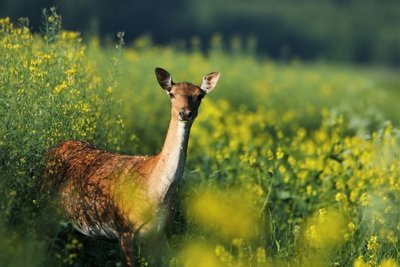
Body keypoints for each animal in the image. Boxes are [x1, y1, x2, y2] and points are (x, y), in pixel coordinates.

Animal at [43, 68, 222, 266]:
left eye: (199, 96)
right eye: (172, 94)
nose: (185, 113)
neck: (156, 192)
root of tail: (53, 147)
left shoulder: (160, 234)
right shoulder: (124, 229)